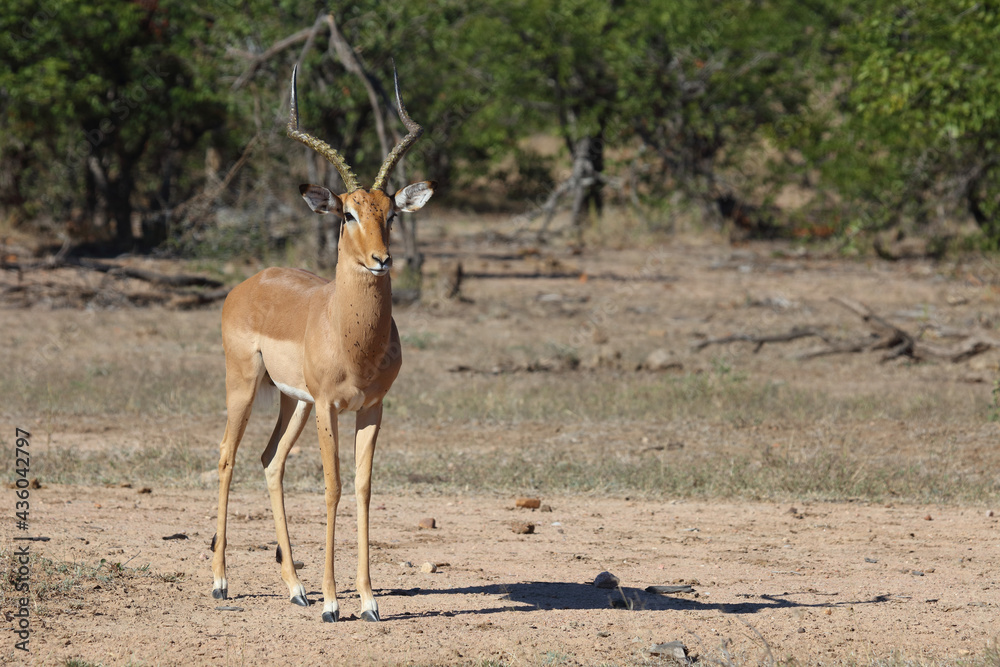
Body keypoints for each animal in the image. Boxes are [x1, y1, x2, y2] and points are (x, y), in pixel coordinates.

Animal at [210, 65, 434, 623]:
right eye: (347, 214)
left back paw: (296, 587)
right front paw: (334, 603)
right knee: (226, 456)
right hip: (246, 385)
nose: (381, 260)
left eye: (390, 213)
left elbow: (362, 488)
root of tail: (250, 282)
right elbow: (332, 487)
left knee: (271, 461)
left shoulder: (371, 406)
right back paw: (221, 582)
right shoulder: (332, 405)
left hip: (294, 403)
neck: (350, 336)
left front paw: (369, 600)